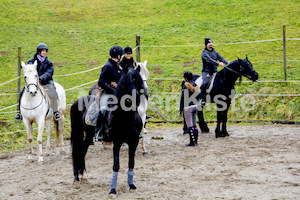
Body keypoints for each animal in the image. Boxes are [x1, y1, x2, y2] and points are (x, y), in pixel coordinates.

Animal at [71, 67, 145, 195]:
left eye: (139, 81)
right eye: (127, 82)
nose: (136, 100)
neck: (126, 116)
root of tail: (77, 101)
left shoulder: (134, 142)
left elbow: (131, 163)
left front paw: (131, 185)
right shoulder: (117, 142)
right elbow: (116, 165)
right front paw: (113, 190)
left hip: (89, 134)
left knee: (82, 151)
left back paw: (84, 176)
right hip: (77, 131)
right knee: (76, 151)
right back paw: (76, 177)